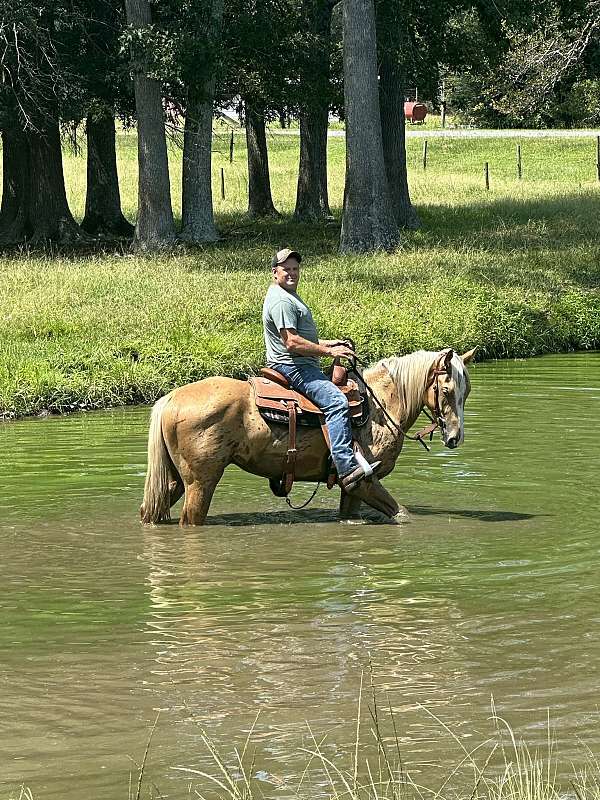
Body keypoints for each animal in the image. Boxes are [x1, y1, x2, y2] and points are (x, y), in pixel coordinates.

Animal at [142, 346, 478, 524]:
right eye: (447, 390)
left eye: (467, 391)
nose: (455, 438)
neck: (379, 407)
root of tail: (170, 398)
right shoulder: (364, 480)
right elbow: (403, 515)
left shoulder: (351, 487)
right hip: (201, 481)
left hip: (175, 480)